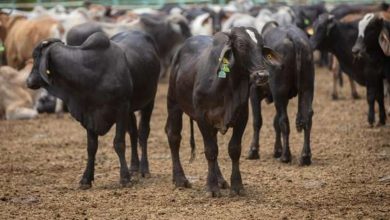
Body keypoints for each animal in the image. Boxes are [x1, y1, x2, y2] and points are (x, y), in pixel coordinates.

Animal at [27, 31, 160, 189]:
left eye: (36, 56)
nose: (29, 81)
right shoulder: (88, 114)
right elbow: (91, 147)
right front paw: (86, 179)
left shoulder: (121, 108)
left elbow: (119, 143)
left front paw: (125, 178)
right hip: (130, 109)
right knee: (133, 133)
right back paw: (134, 167)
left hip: (149, 100)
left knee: (143, 132)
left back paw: (144, 169)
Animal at [165, 26, 280, 197]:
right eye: (241, 45)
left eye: (261, 46)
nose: (262, 75)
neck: (228, 86)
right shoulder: (203, 118)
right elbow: (211, 150)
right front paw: (212, 188)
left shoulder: (242, 117)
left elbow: (234, 149)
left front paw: (237, 186)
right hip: (173, 103)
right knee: (174, 136)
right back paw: (180, 179)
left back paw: (220, 179)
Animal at [248, 22, 316, 166]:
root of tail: (294, 37)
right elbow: (275, 123)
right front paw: (277, 150)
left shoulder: (254, 92)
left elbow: (257, 121)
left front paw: (253, 151)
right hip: (307, 88)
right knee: (307, 116)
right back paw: (305, 156)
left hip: (279, 92)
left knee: (284, 121)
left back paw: (286, 156)